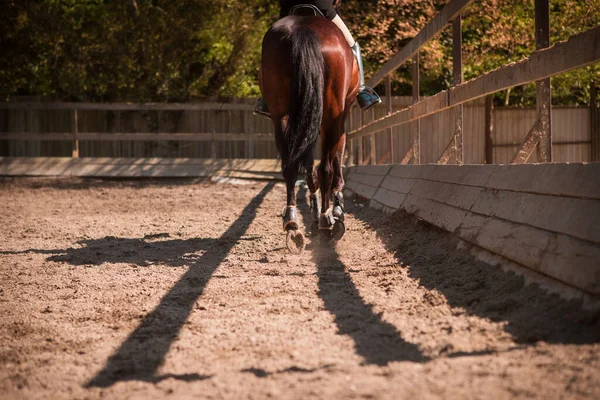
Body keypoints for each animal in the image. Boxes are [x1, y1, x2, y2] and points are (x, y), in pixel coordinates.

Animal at [258, 15, 360, 253]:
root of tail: (303, 28)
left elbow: (307, 167)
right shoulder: (339, 118)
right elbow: (335, 158)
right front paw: (336, 209)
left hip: (281, 114)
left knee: (290, 166)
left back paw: (292, 223)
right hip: (332, 114)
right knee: (325, 168)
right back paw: (326, 220)